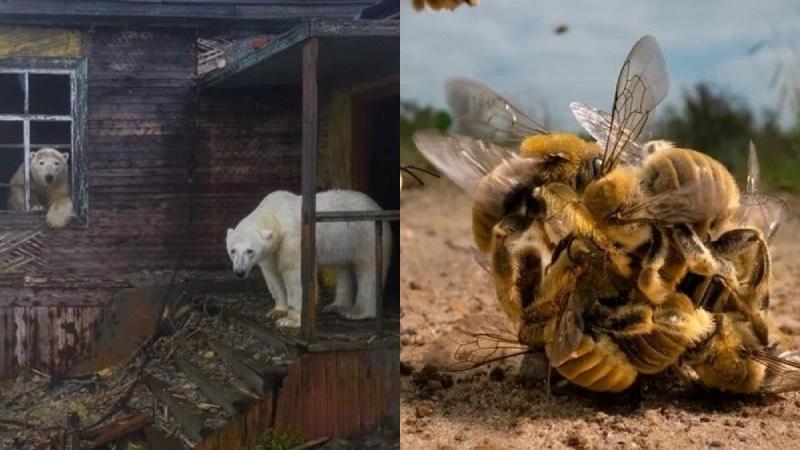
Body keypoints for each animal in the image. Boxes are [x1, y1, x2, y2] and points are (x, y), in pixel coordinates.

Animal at [227, 189, 392, 326]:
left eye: (250, 250)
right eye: (232, 250)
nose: (239, 272)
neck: (275, 213)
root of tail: (377, 207)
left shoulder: (293, 238)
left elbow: (294, 272)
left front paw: (290, 320)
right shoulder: (270, 250)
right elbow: (272, 274)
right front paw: (277, 311)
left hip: (366, 235)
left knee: (368, 269)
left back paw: (358, 312)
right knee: (343, 267)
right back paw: (336, 306)